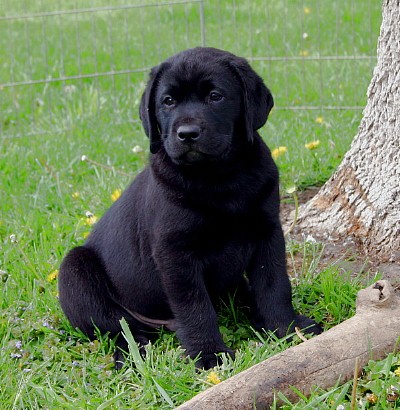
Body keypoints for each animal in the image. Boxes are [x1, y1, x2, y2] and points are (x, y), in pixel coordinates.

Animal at [58, 46, 322, 370]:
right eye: (168, 101)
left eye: (215, 96)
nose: (187, 133)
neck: (220, 177)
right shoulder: (175, 253)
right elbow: (195, 306)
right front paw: (209, 354)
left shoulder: (267, 232)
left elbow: (274, 284)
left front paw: (287, 329)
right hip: (74, 273)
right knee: (120, 328)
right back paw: (133, 355)